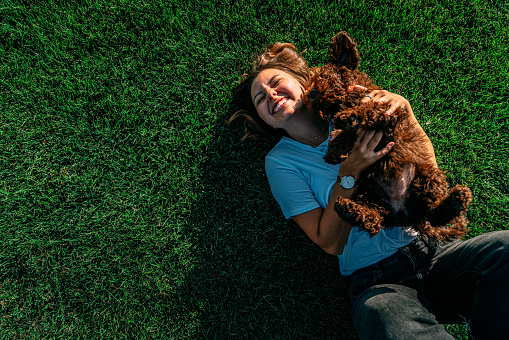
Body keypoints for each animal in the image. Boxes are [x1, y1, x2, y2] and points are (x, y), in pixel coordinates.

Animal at [302, 30, 472, 240]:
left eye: (321, 76)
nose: (309, 95)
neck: (347, 98)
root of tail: (407, 216)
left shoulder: (389, 115)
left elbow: (369, 112)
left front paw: (350, 118)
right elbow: (347, 133)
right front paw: (336, 148)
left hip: (428, 177)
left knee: (432, 213)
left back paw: (458, 199)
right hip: (370, 194)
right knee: (374, 222)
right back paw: (349, 209)